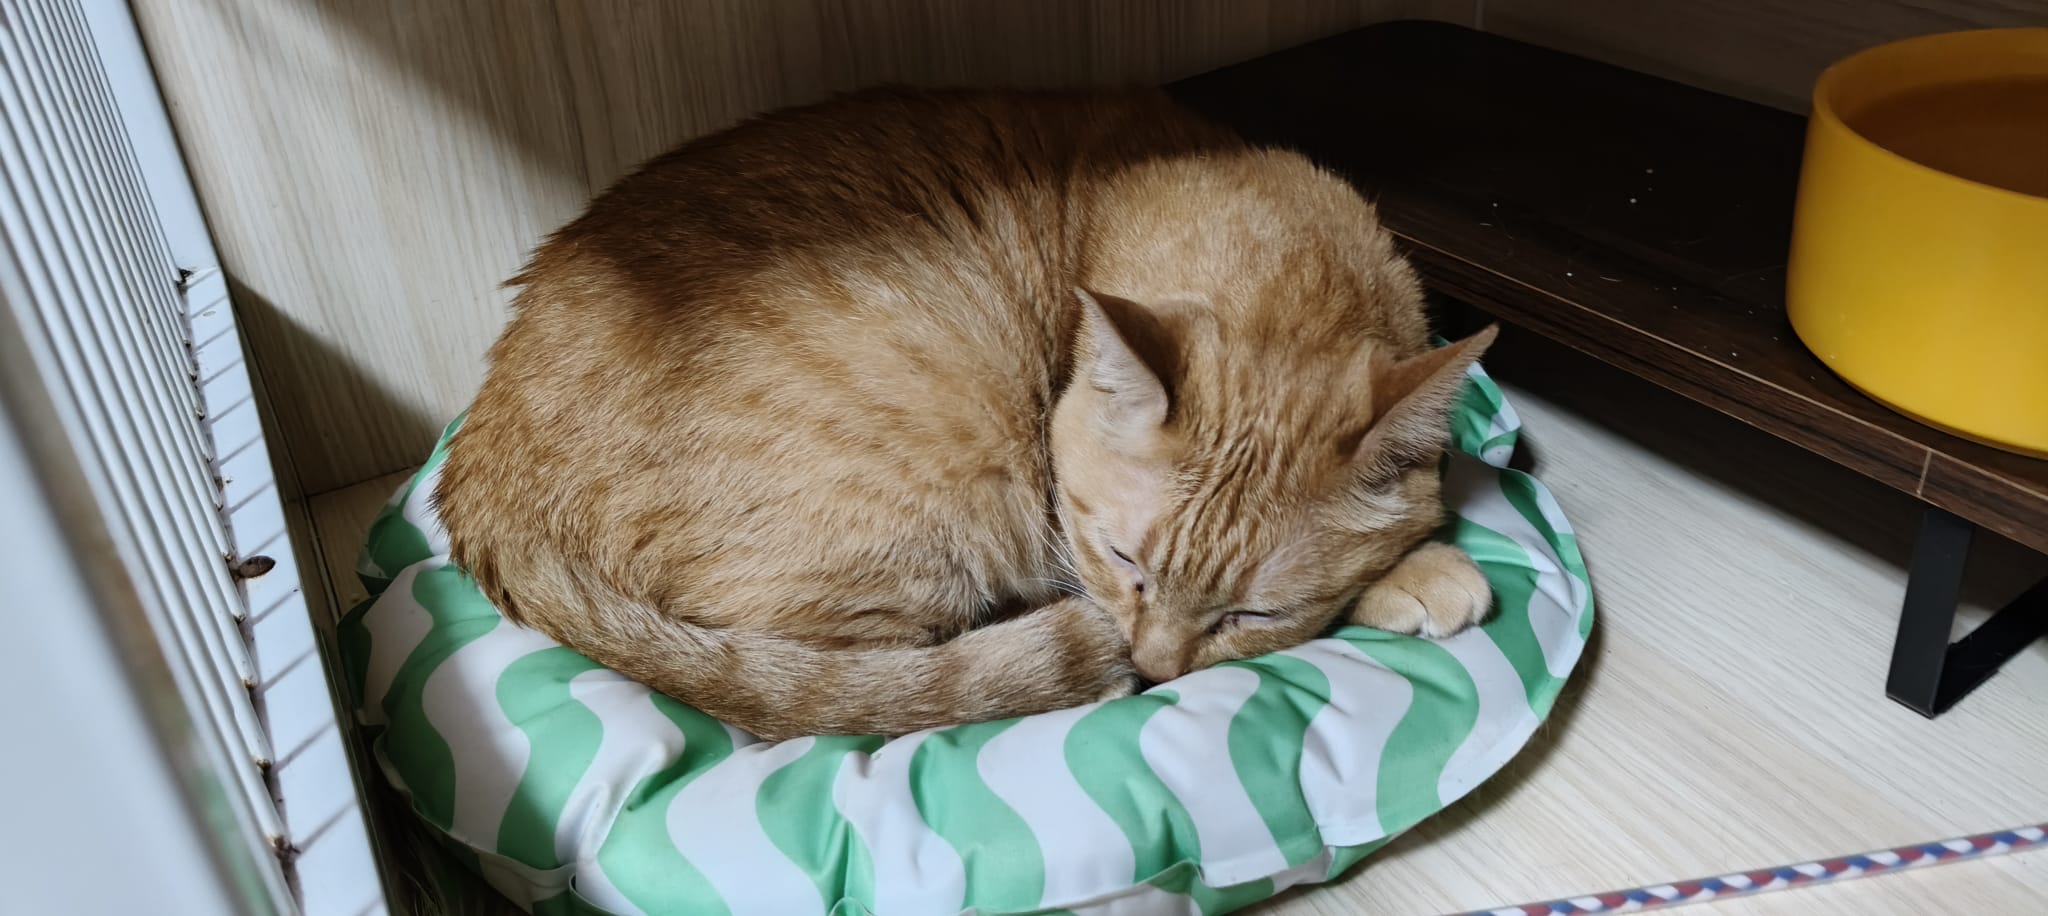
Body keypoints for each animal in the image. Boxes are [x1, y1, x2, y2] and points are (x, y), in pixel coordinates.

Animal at [435, 87, 1495, 742]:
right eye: (1122, 560)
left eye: (1253, 613)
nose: (1155, 670)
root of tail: (480, 480)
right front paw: (1426, 571)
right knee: (852, 693)